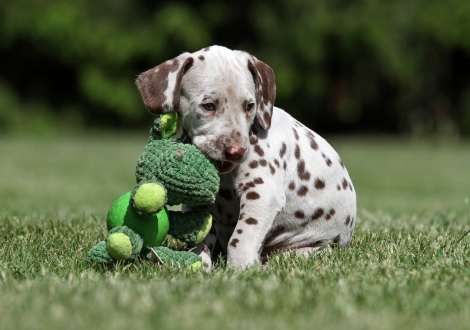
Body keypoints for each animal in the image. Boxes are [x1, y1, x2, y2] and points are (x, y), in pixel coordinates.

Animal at [136, 45, 356, 270]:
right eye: (208, 105)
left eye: (250, 106)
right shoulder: (198, 204)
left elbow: (240, 238)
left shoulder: (261, 194)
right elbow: (200, 238)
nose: (237, 152)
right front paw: (199, 264)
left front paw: (240, 269)